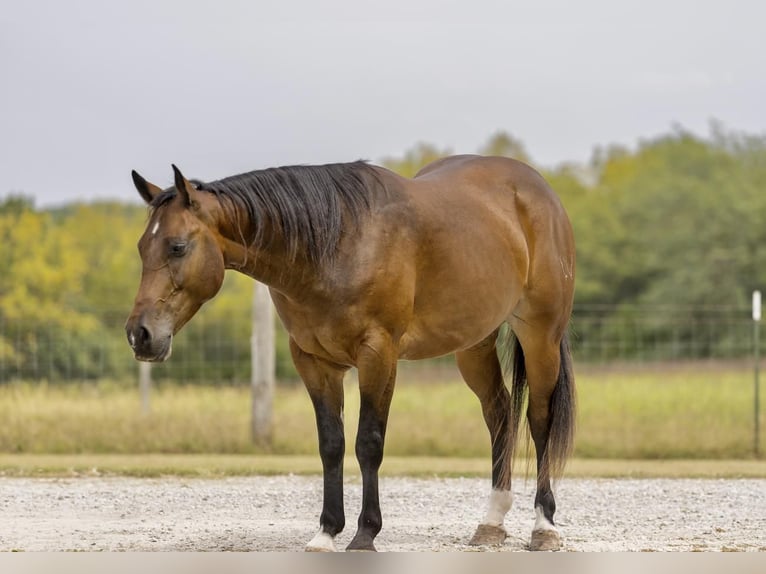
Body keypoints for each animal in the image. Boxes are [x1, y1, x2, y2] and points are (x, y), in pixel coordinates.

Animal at [124, 156, 576, 552]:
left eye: (177, 247)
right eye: (142, 247)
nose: (139, 335)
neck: (335, 246)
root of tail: (539, 190)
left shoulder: (378, 355)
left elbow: (368, 443)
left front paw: (365, 534)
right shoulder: (314, 362)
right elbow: (332, 444)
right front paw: (326, 532)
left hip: (540, 336)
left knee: (539, 421)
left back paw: (544, 527)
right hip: (474, 344)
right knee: (499, 414)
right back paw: (491, 523)